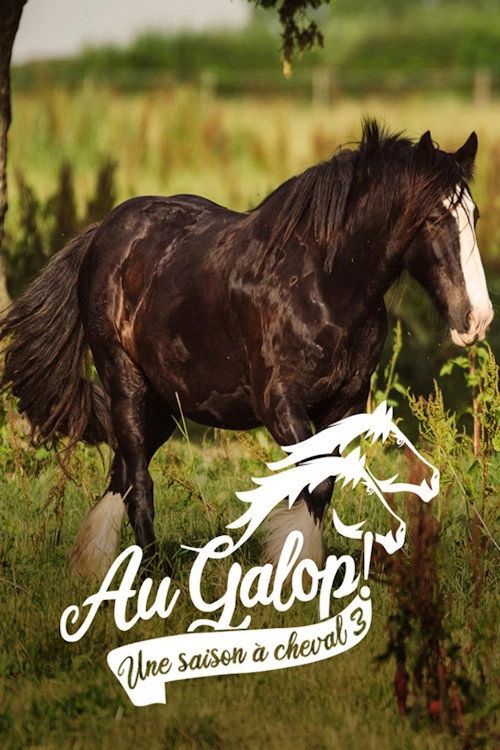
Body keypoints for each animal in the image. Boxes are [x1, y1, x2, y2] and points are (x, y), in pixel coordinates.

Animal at [0, 120, 493, 578]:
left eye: (474, 215)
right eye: (432, 219)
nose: (477, 319)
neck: (324, 284)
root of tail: (104, 232)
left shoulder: (346, 403)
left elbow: (323, 486)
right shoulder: (280, 405)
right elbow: (308, 483)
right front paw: (292, 569)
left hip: (163, 404)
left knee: (121, 475)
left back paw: (94, 563)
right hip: (126, 385)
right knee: (138, 481)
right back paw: (152, 574)